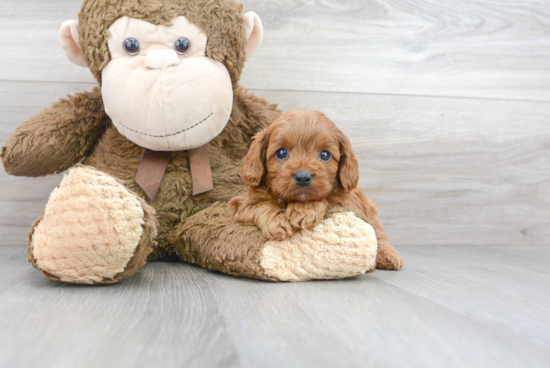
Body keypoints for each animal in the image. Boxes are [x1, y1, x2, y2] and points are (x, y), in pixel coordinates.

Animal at [230, 109, 406, 270]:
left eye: (325, 154)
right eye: (281, 152)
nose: (303, 177)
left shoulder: (347, 202)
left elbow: (328, 198)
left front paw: (304, 210)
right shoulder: (241, 205)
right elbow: (261, 205)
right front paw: (277, 223)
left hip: (370, 210)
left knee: (379, 234)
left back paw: (388, 255)